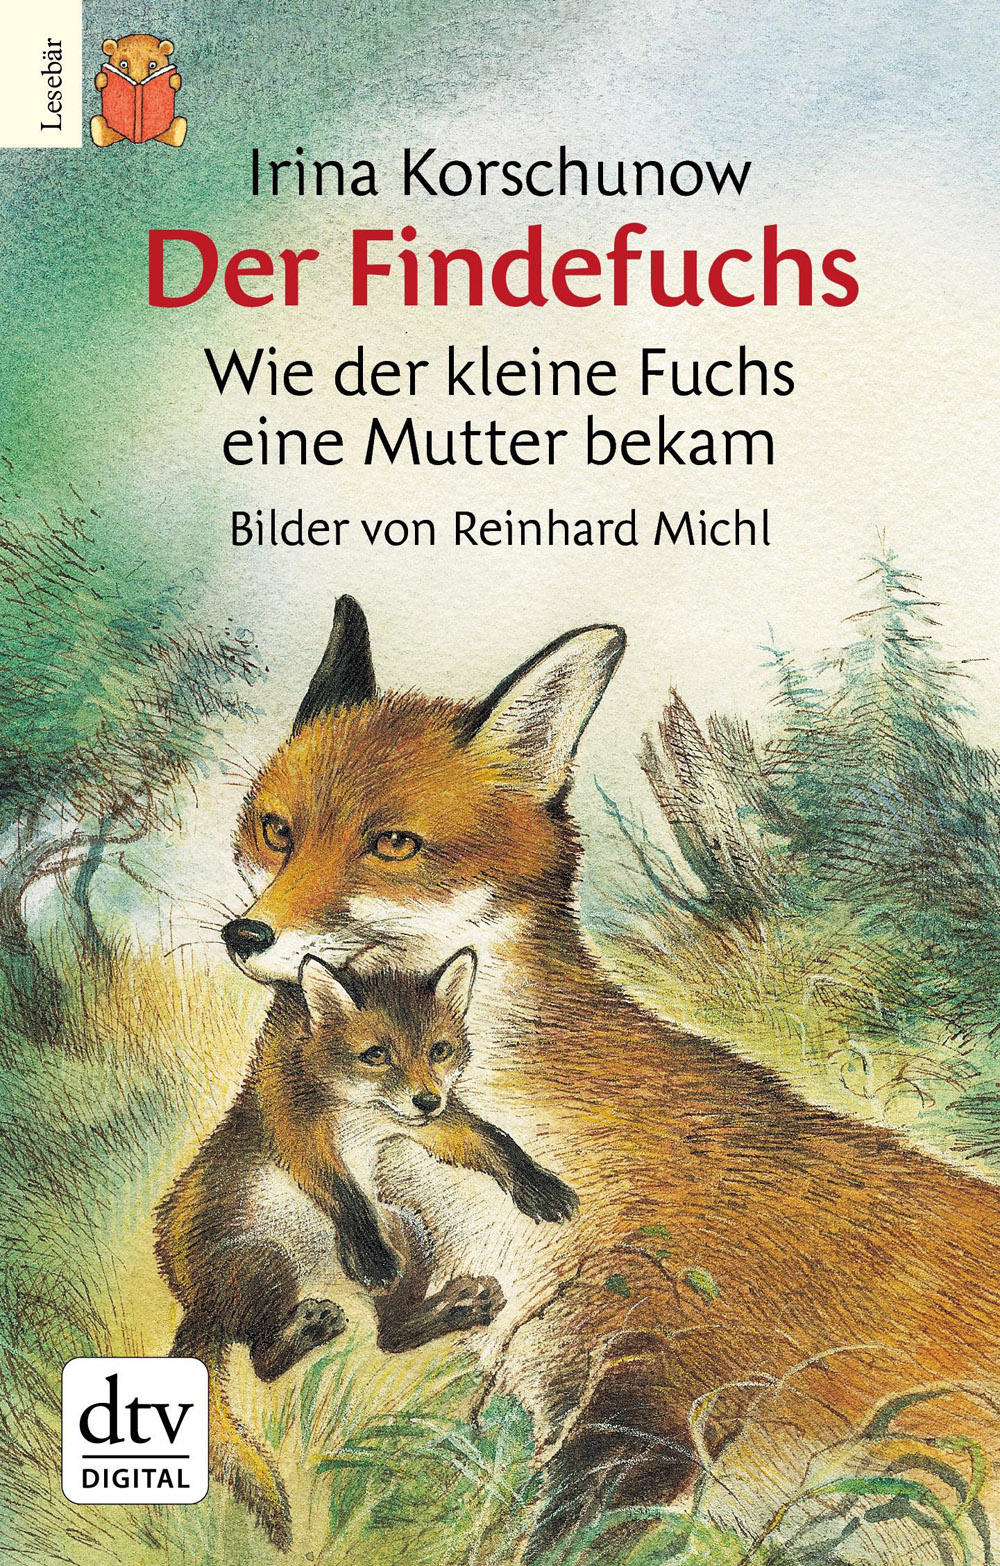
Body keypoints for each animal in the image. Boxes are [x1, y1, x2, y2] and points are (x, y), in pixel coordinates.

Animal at [155, 946, 578, 1549]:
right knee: (262, 1358)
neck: (360, 1112)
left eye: (439, 1050)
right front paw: (366, 1247)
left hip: (409, 1230)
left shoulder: (429, 1127)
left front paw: (538, 1185)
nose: (426, 1098)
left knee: (390, 1336)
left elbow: (493, 1140)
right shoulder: (300, 1132)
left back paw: (460, 1307)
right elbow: (343, 1192)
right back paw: (311, 1327)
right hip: (267, 1263)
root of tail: (196, 1302)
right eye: (376, 1055)